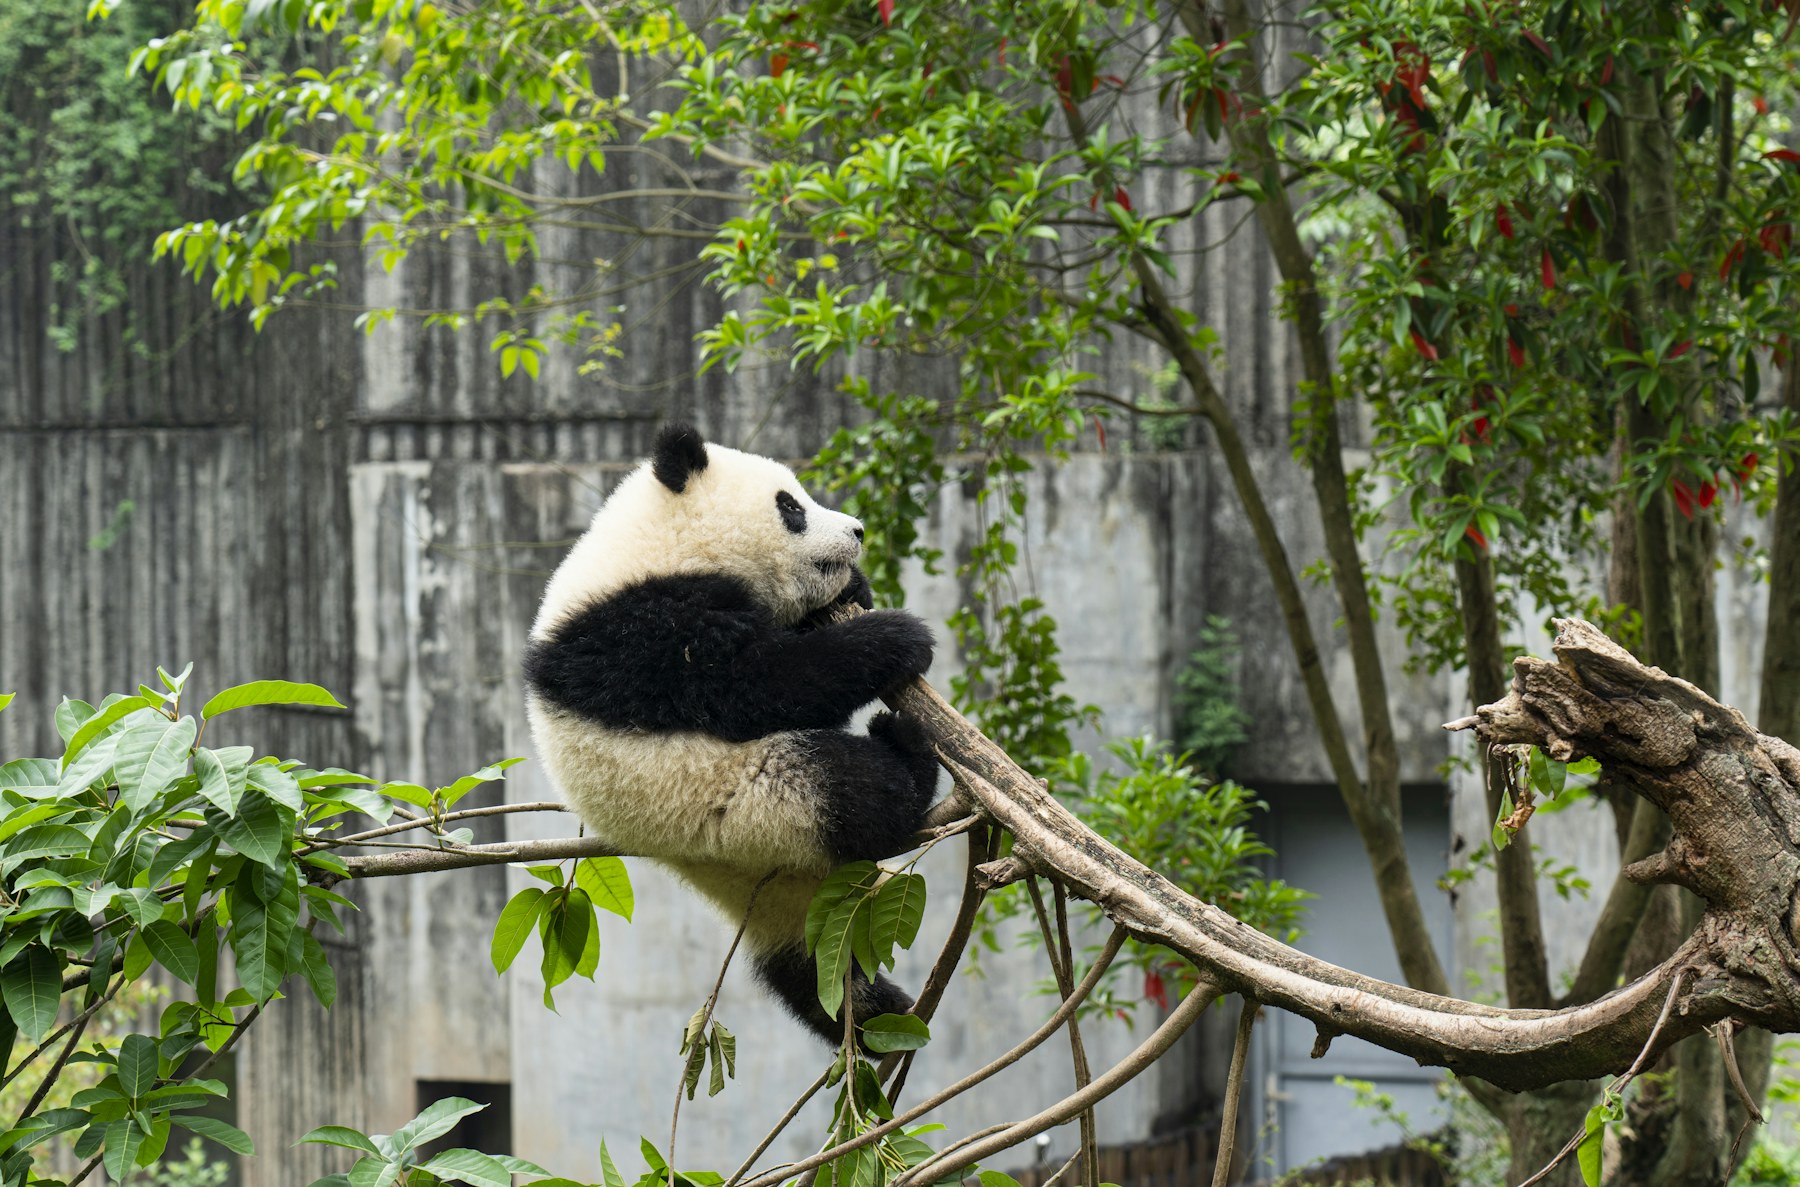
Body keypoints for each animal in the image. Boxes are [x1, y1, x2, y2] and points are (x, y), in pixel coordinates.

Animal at [522, 423, 942, 1043]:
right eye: (791, 507)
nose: (858, 531)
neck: (657, 545)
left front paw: (855, 591)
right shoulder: (641, 632)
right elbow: (754, 687)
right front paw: (894, 637)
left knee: (805, 974)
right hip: (758, 803)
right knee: (856, 786)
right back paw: (905, 750)